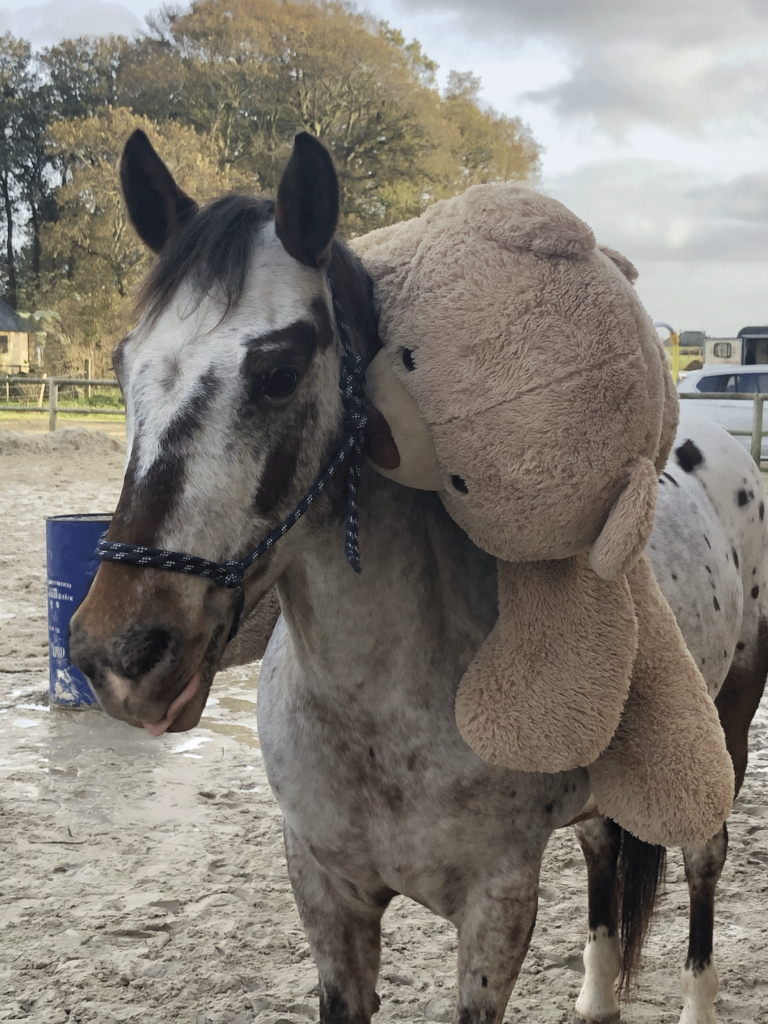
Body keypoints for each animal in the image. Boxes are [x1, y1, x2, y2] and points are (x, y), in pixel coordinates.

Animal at [69, 130, 768, 1024]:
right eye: (124, 367)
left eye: (278, 373)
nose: (120, 655)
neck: (379, 712)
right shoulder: (326, 894)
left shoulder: (496, 907)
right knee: (604, 848)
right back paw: (594, 994)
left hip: (726, 728)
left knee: (704, 857)